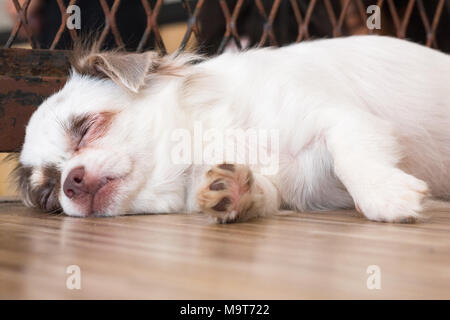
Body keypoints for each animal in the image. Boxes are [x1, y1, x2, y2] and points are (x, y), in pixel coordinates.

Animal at [9, 35, 450, 222]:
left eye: (86, 128)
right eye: (49, 194)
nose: (71, 183)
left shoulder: (342, 119)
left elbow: (349, 157)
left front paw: (385, 195)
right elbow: (262, 193)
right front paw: (235, 191)